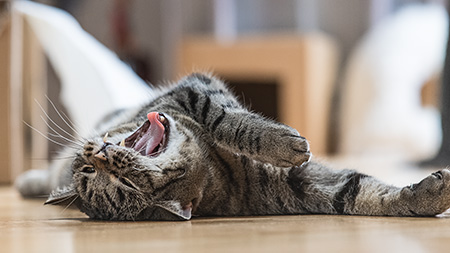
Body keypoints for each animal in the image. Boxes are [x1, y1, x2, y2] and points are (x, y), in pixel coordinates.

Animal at [15, 72, 450, 219]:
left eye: (92, 171)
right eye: (122, 185)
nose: (96, 155)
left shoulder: (195, 89)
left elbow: (221, 116)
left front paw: (426, 198)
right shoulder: (304, 189)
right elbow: (360, 194)